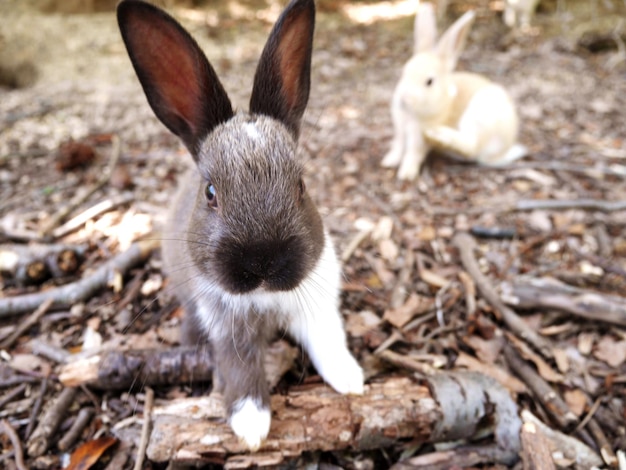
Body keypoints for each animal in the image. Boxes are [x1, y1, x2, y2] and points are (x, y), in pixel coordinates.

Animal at [116, 0, 360, 452]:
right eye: (211, 192)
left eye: (301, 185)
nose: (263, 261)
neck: (264, 294)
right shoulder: (225, 324)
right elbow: (240, 364)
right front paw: (251, 424)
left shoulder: (318, 304)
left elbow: (327, 339)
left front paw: (351, 379)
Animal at [382, 2, 524, 182]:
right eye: (403, 72)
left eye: (429, 82)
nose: (404, 100)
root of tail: (503, 151)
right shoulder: (400, 131)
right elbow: (398, 146)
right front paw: (388, 161)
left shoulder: (418, 140)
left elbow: (413, 154)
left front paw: (406, 174)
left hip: (480, 117)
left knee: (471, 147)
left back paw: (440, 136)